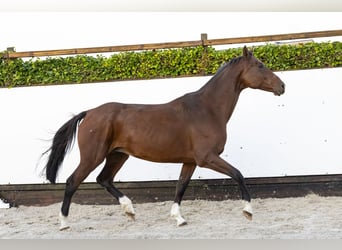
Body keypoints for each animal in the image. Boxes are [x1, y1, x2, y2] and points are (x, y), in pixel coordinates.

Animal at [44, 46, 286, 229]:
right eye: (260, 65)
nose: (282, 86)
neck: (207, 109)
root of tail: (90, 112)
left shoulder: (190, 161)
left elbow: (181, 186)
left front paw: (179, 218)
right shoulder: (206, 158)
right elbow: (238, 174)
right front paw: (248, 211)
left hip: (118, 155)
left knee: (104, 179)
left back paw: (130, 210)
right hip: (93, 156)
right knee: (72, 181)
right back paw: (64, 223)